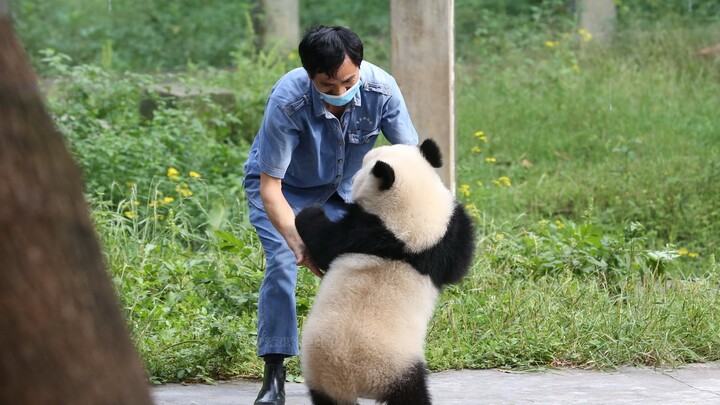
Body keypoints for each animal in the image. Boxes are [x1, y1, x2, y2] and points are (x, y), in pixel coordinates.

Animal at [296, 139, 476, 404]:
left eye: (362, 164)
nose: (351, 179)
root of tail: (352, 378)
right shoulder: (366, 231)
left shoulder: (438, 237)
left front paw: (309, 211)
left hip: (385, 366)